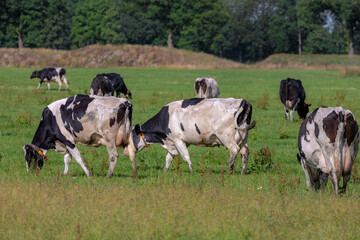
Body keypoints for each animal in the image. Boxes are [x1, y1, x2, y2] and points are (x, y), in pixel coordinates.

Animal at [125, 97, 255, 174]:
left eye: (130, 137)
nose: (125, 152)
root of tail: (242, 101)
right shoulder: (175, 142)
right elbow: (169, 157)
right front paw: (164, 170)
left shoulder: (177, 139)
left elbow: (185, 156)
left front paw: (191, 171)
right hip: (243, 137)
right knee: (245, 152)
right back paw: (243, 172)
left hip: (225, 136)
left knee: (234, 150)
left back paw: (229, 168)